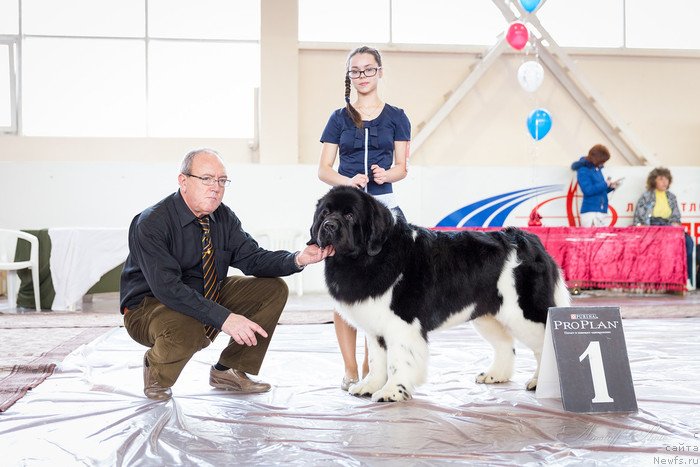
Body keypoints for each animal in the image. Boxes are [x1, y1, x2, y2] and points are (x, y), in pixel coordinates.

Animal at [308, 186, 572, 402]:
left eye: (350, 215)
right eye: (324, 213)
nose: (329, 225)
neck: (370, 257)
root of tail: (529, 239)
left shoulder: (401, 324)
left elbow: (397, 359)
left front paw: (392, 392)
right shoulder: (375, 327)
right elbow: (377, 359)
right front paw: (370, 386)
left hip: (524, 312)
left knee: (543, 343)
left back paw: (540, 382)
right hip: (488, 314)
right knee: (505, 344)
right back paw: (495, 375)